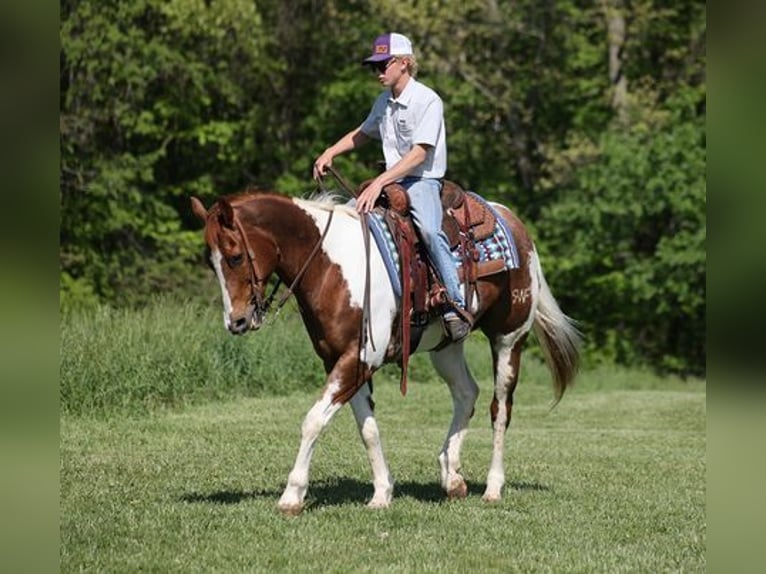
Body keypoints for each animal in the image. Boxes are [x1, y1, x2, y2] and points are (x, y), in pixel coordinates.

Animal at [190, 188, 580, 515]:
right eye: (211, 262)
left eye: (235, 257)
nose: (237, 321)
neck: (332, 266)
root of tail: (513, 222)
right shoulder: (343, 362)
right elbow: (368, 428)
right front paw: (381, 493)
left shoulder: (359, 359)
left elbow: (313, 420)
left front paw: (292, 495)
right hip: (446, 346)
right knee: (466, 393)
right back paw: (451, 475)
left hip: (508, 339)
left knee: (500, 409)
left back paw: (493, 487)